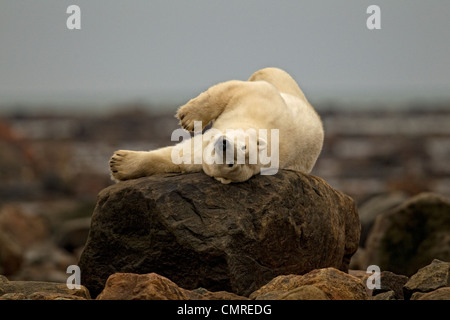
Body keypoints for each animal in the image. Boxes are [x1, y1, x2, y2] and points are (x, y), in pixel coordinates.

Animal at [111, 67, 326, 182]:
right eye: (243, 146)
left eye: (232, 163)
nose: (223, 144)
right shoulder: (262, 104)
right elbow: (233, 90)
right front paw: (188, 118)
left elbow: (183, 156)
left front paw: (119, 164)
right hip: (287, 86)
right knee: (269, 72)